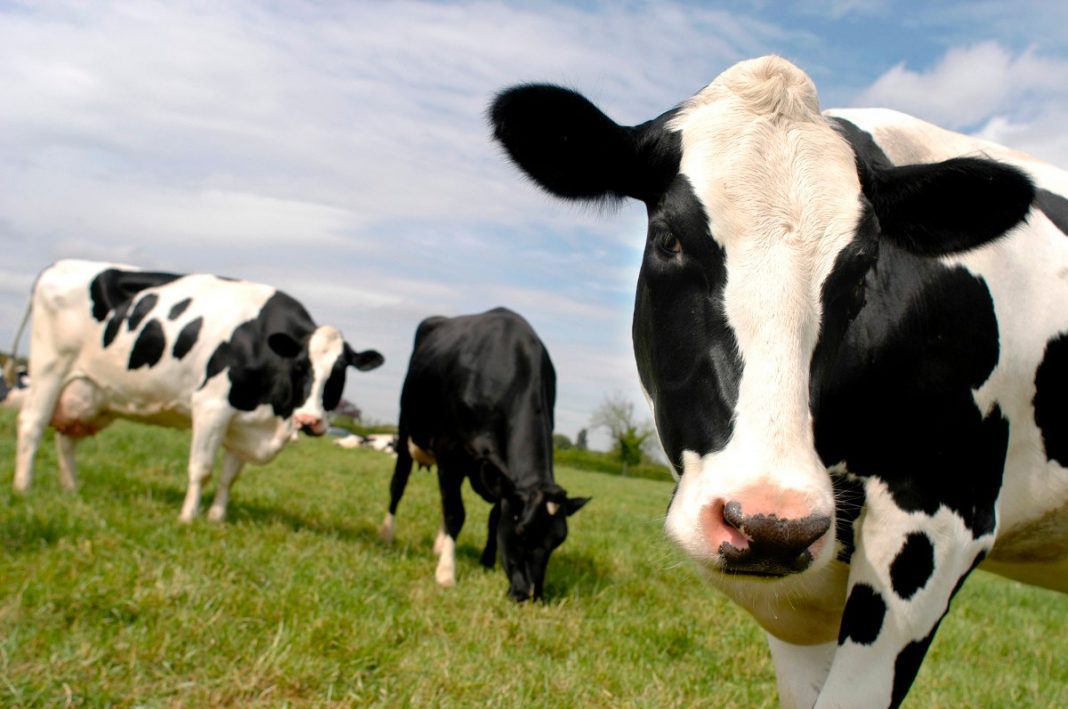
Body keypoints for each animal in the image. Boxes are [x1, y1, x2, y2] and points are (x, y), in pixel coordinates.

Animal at [10, 259, 384, 522]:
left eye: (340, 371)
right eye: (300, 366)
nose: (309, 420)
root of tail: (59, 265)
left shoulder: (245, 420)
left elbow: (230, 476)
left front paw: (217, 518)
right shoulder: (212, 405)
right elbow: (201, 468)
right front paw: (188, 517)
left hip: (90, 393)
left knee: (66, 439)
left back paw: (71, 490)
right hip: (50, 367)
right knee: (32, 424)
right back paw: (23, 487)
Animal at [379, 307, 589, 601]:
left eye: (558, 539)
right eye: (522, 532)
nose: (530, 594)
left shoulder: (501, 477)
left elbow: (492, 517)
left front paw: (487, 561)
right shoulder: (450, 451)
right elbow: (457, 513)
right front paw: (446, 573)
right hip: (406, 427)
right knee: (398, 485)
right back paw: (387, 534)